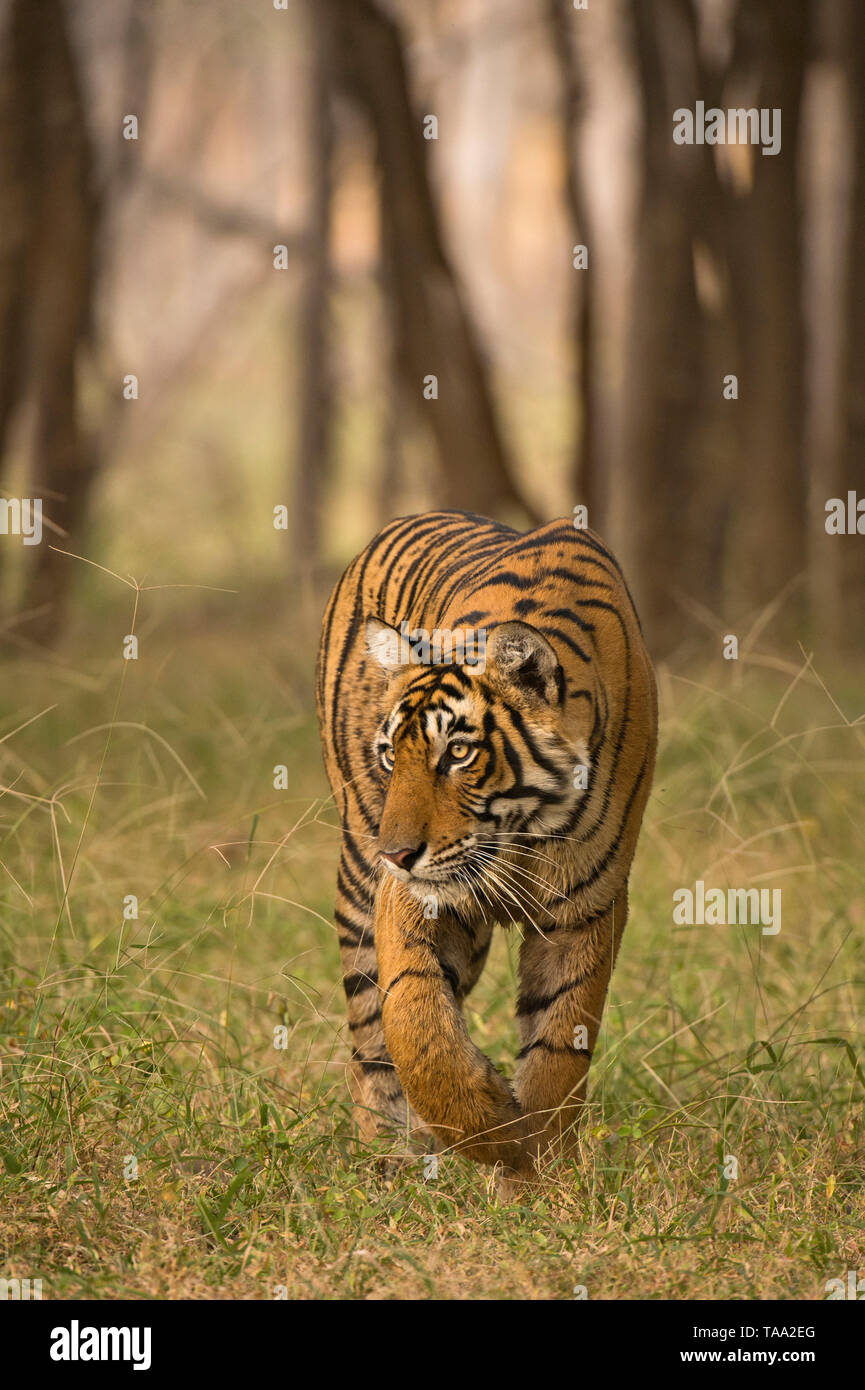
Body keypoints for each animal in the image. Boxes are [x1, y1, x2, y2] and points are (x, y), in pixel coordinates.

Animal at [315, 505, 661, 1189]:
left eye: (457, 752)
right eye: (392, 754)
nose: (396, 854)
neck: (517, 833)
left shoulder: (588, 906)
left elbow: (560, 1041)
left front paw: (537, 1166)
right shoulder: (410, 898)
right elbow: (413, 1018)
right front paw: (490, 1128)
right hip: (358, 879)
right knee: (369, 1024)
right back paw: (386, 1149)